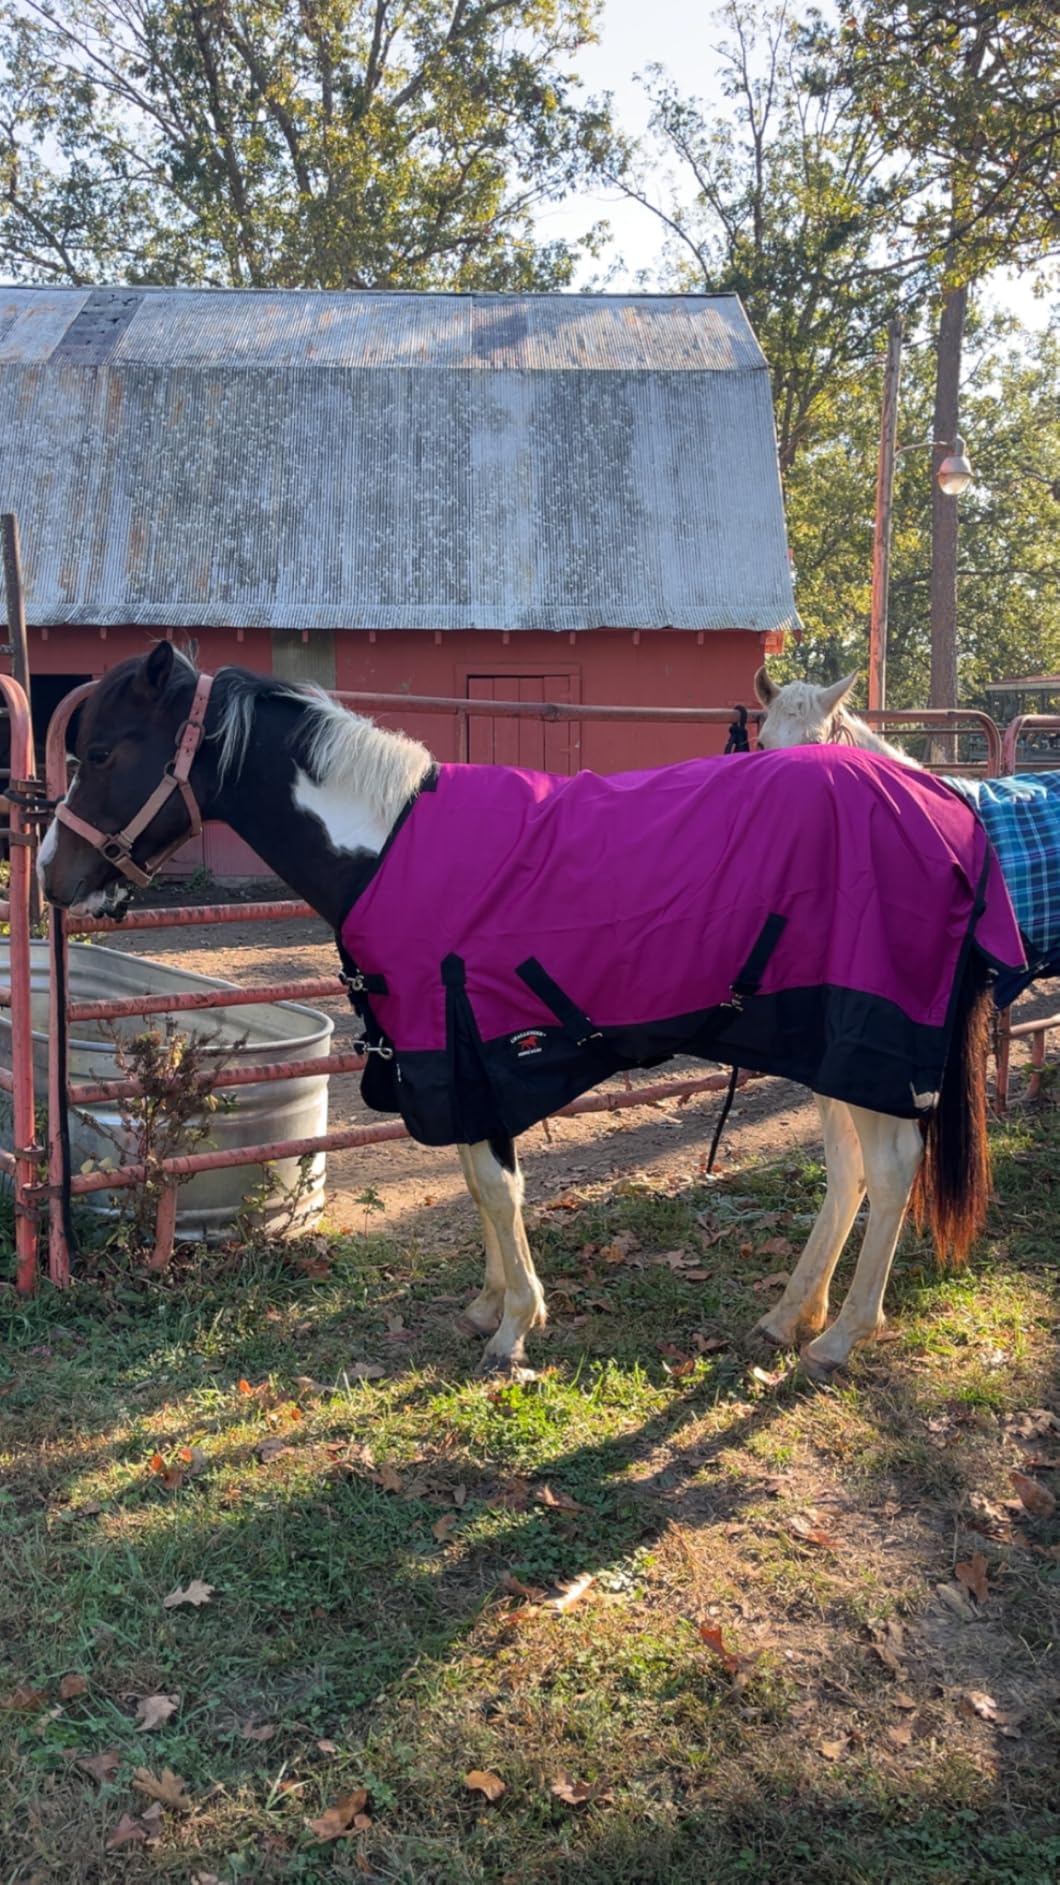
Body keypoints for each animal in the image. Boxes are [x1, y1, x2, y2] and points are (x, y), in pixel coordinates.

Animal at [39, 644, 1025, 1380]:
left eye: (104, 753)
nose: (51, 875)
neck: (390, 843)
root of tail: (948, 808)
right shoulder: (455, 1060)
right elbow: (478, 1182)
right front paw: (489, 1306)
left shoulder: (466, 1047)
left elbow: (492, 1183)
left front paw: (516, 1324)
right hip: (828, 1047)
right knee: (852, 1169)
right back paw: (792, 1316)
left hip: (869, 1042)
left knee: (891, 1170)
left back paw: (839, 1337)